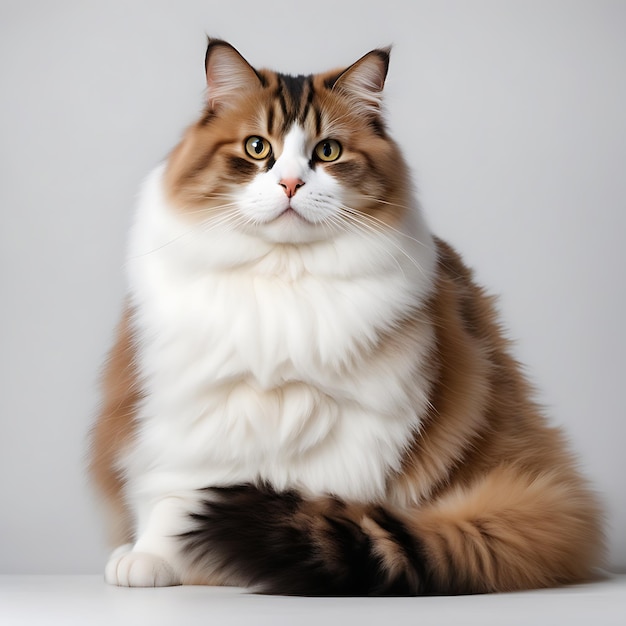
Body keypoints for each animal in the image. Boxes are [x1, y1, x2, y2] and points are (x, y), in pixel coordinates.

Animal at [88, 39, 600, 596]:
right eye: (257, 148)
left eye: (328, 152)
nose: (291, 183)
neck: (284, 279)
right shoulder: (195, 410)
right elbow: (174, 495)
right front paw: (154, 557)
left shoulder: (357, 419)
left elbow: (317, 502)